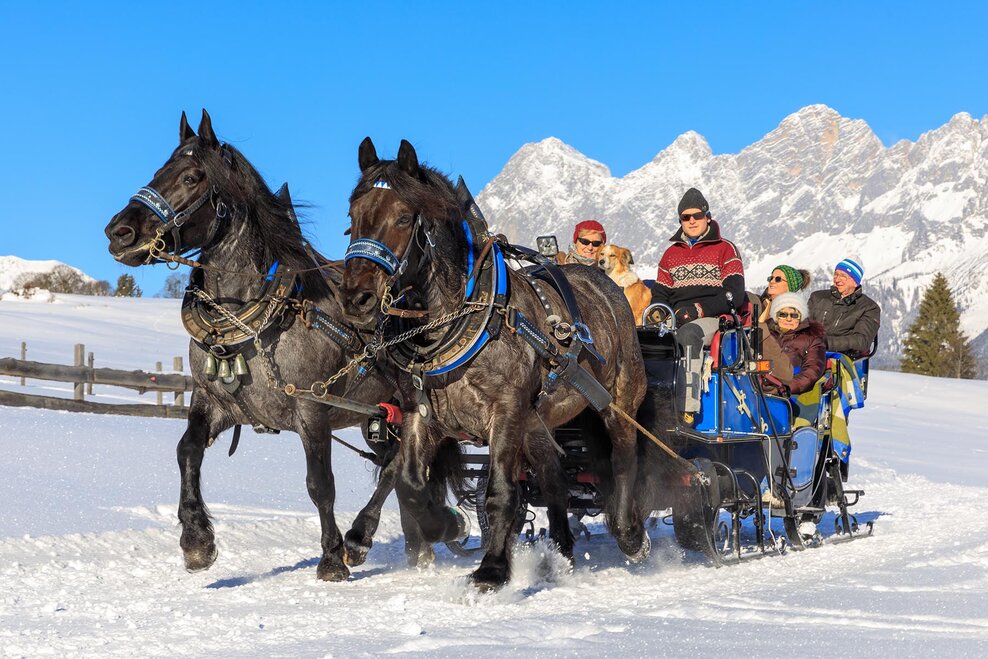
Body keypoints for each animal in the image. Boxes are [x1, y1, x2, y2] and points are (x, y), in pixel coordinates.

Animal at [103, 110, 460, 581]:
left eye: (191, 177)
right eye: (158, 171)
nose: (118, 232)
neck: (249, 318)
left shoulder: (312, 410)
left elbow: (320, 485)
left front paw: (332, 559)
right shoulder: (213, 402)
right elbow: (187, 451)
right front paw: (196, 541)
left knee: (396, 469)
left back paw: (363, 538)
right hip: (383, 419)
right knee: (397, 468)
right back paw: (418, 547)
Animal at [340, 138, 649, 590]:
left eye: (402, 218)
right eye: (353, 217)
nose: (356, 298)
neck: (462, 320)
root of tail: (601, 282)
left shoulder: (505, 411)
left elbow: (501, 493)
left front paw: (492, 569)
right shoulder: (420, 413)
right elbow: (410, 482)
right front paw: (445, 525)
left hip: (618, 398)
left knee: (624, 455)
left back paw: (630, 534)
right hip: (537, 419)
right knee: (553, 474)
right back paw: (561, 552)